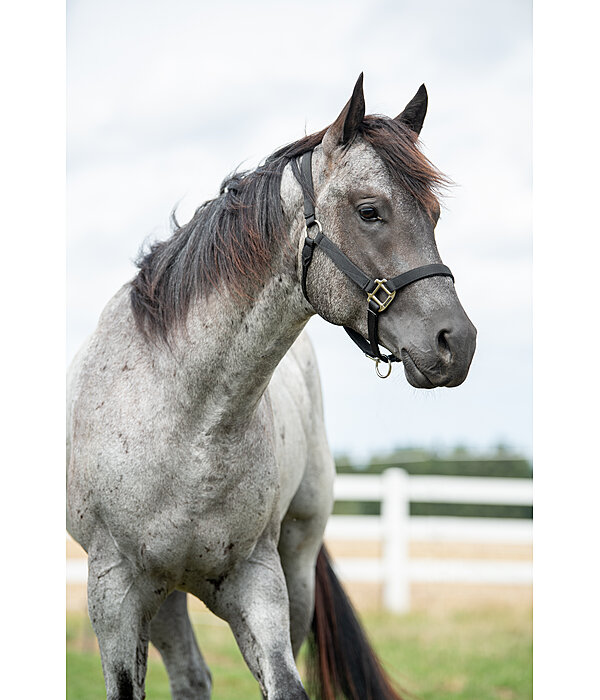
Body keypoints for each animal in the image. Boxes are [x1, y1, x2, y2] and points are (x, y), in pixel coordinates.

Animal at [65, 74, 478, 696]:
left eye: (433, 214)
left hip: (295, 564)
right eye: (370, 211)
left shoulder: (257, 580)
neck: (185, 423)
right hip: (161, 597)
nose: (457, 342)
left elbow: (285, 682)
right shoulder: (115, 591)